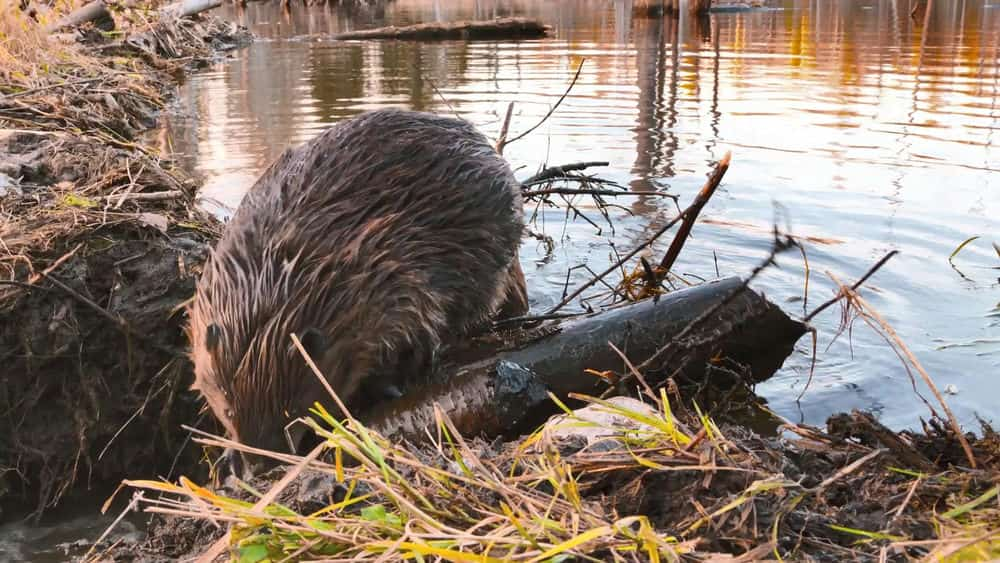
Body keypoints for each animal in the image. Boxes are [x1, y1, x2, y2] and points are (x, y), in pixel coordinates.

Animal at [185, 107, 528, 476]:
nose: (260, 465)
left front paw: (390, 388)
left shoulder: (402, 278)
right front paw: (227, 455)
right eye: (229, 409)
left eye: (291, 411)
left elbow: (416, 333)